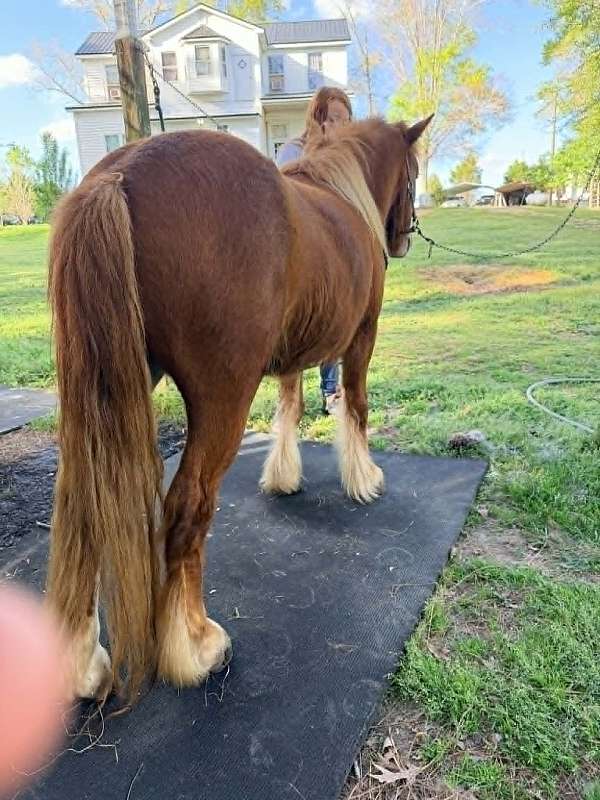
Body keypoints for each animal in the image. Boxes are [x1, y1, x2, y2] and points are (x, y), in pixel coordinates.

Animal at [47, 115, 432, 702]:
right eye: (412, 173)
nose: (406, 236)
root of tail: (119, 173)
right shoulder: (361, 339)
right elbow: (357, 405)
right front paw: (364, 478)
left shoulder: (295, 352)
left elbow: (291, 409)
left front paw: (284, 475)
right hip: (222, 399)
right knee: (188, 507)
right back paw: (194, 646)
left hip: (101, 390)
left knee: (84, 504)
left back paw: (85, 663)